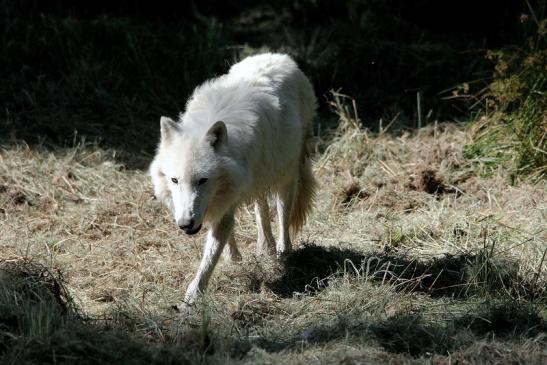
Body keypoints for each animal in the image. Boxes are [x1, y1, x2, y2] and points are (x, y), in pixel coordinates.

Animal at [150, 53, 318, 304]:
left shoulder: (226, 199)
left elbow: (210, 256)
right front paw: (234, 260)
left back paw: (282, 251)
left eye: (202, 180)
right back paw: (265, 247)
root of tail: (279, 56)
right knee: (261, 208)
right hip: (258, 179)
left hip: (286, 176)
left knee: (283, 215)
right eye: (175, 181)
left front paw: (192, 297)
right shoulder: (221, 200)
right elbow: (221, 240)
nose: (185, 224)